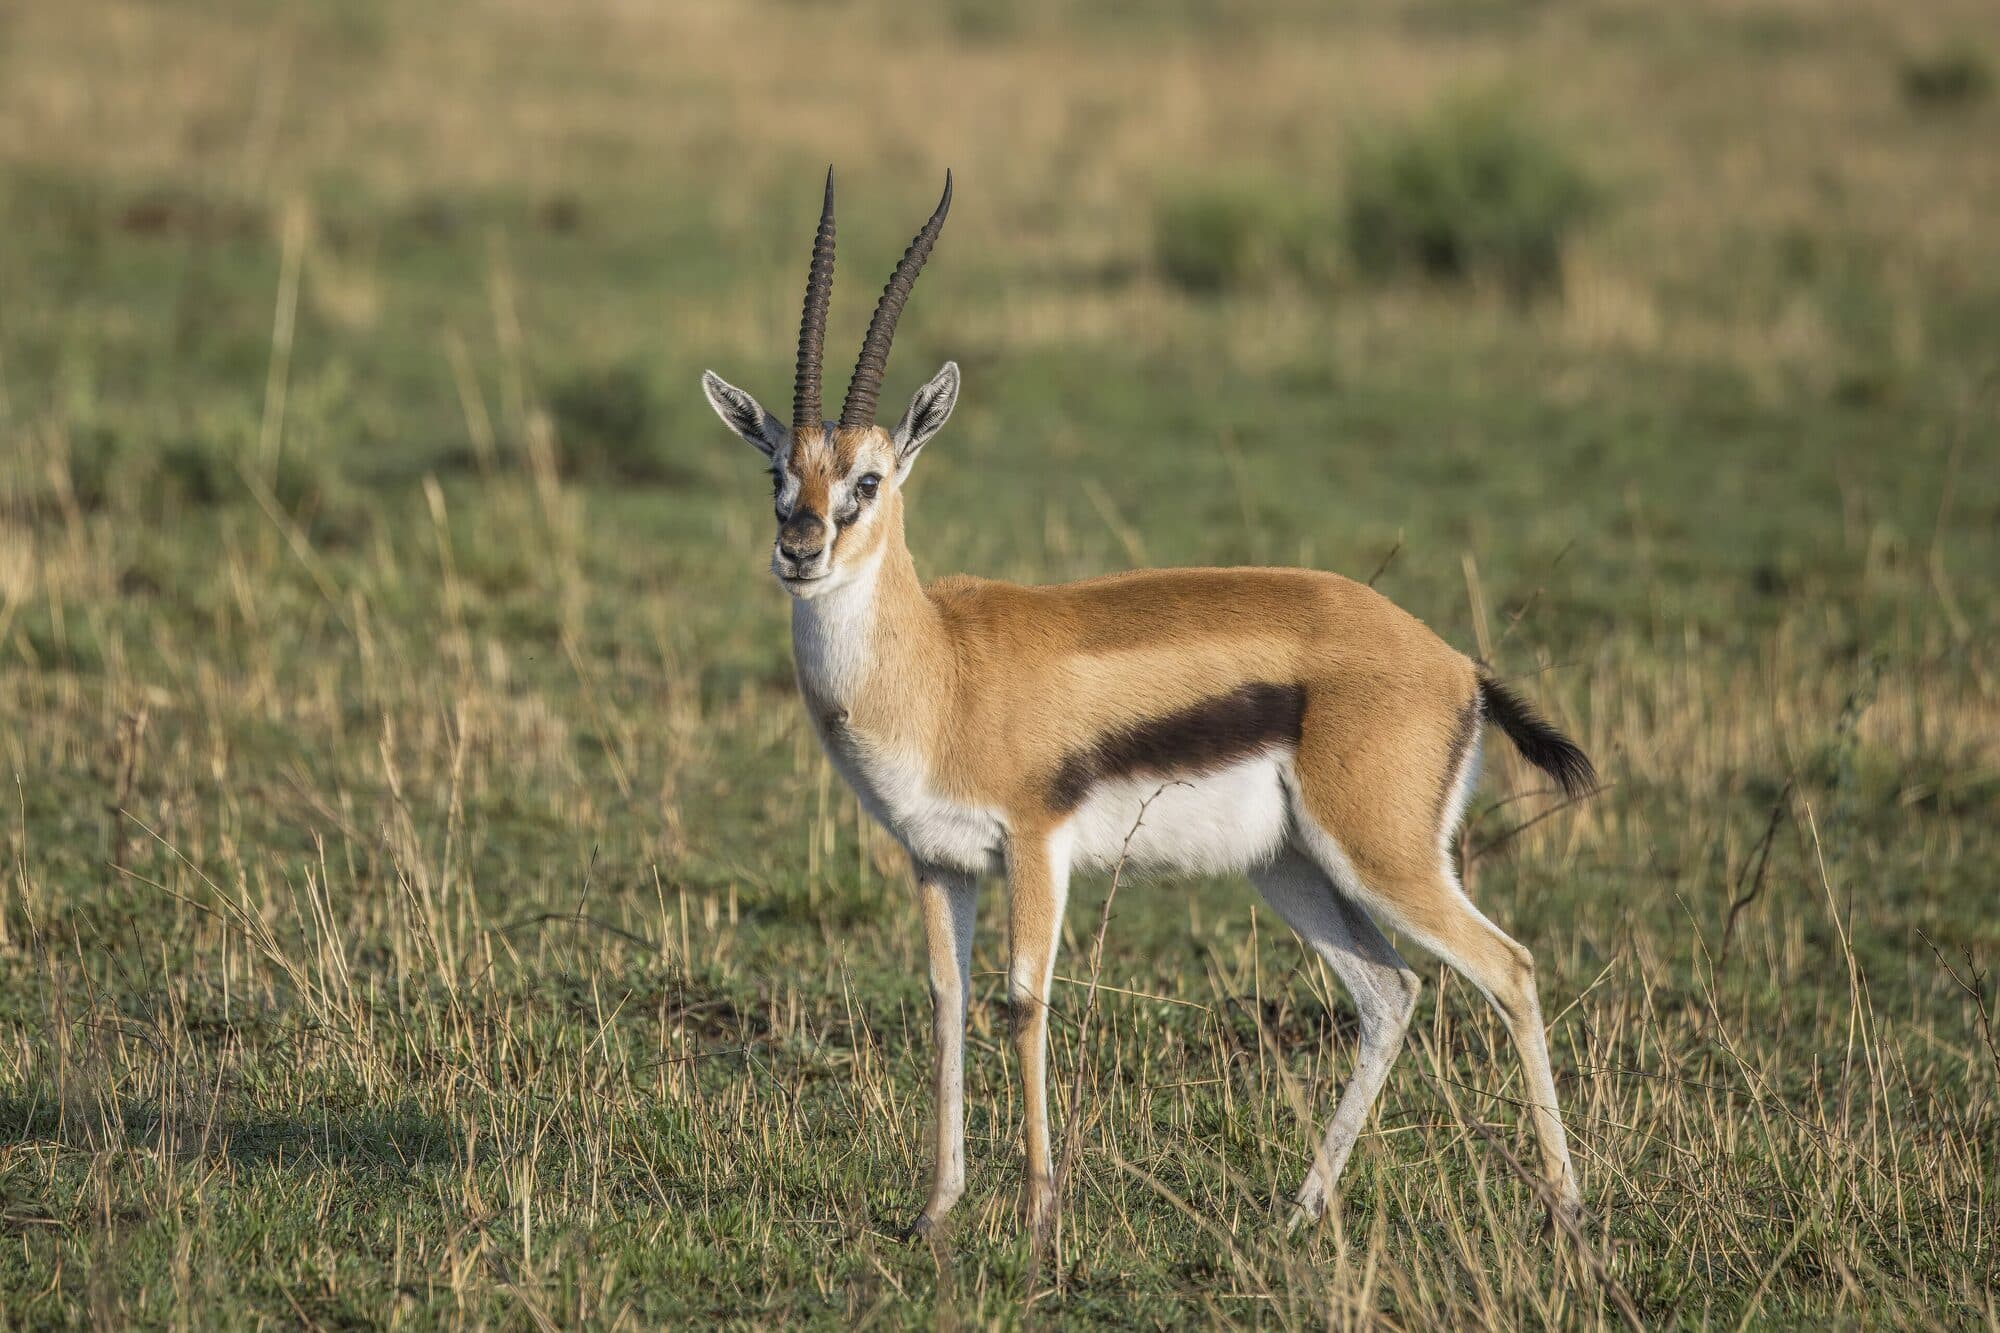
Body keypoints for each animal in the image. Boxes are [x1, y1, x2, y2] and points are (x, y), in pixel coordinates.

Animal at [700, 169, 1596, 1240]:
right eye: (779, 473)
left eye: (866, 480)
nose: (799, 552)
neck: (942, 666)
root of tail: (1457, 664)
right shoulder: (935, 858)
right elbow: (945, 1004)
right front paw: (934, 1212)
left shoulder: (1033, 842)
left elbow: (1024, 1000)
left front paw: (1038, 1213)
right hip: (1292, 865)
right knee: (1392, 991)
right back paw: (1300, 1211)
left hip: (1382, 855)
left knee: (1510, 968)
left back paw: (1568, 1209)